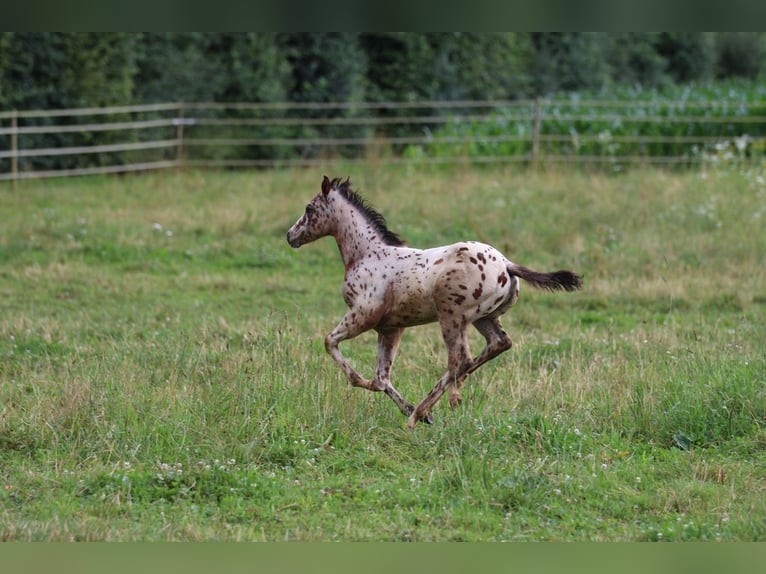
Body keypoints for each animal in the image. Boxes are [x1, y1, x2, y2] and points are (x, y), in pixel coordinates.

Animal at [286, 178, 584, 430]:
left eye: (309, 208)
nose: (290, 236)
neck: (366, 254)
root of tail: (507, 265)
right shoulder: (391, 328)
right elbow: (381, 379)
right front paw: (409, 409)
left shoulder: (363, 315)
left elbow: (331, 344)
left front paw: (363, 383)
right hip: (483, 318)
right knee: (497, 344)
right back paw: (422, 411)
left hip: (452, 316)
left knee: (461, 359)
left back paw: (437, 406)